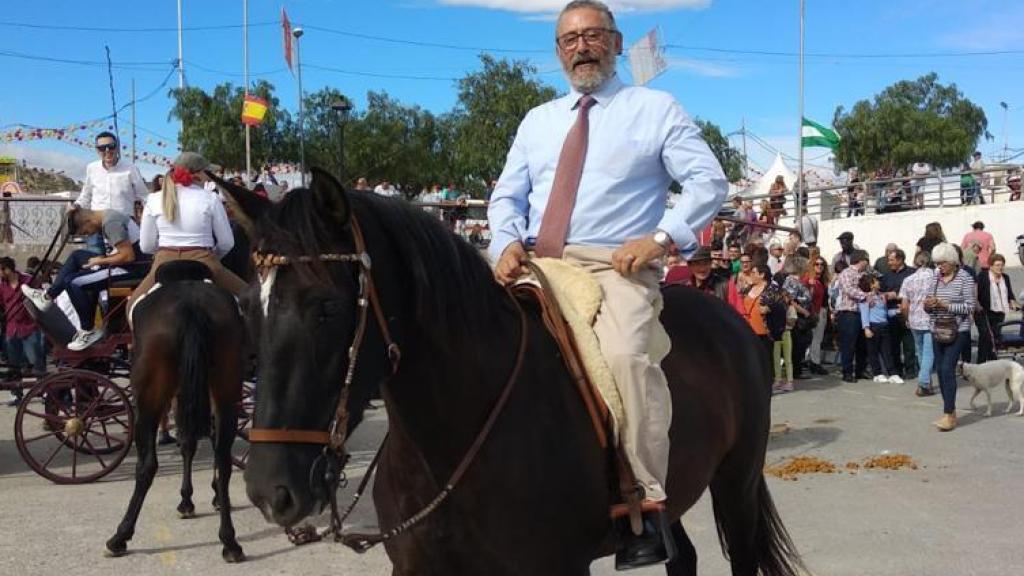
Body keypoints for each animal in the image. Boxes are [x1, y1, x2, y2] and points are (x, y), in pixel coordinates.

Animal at [105, 260, 245, 561]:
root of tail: (190, 305)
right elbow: (190, 441)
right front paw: (195, 498)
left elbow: (185, 441)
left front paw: (186, 500)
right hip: (226, 389)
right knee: (223, 458)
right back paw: (229, 541)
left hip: (148, 398)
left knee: (146, 465)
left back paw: (121, 535)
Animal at [237, 170, 798, 573]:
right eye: (247, 307)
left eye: (327, 308)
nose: (269, 491)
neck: (452, 443)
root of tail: (728, 317)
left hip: (737, 483)